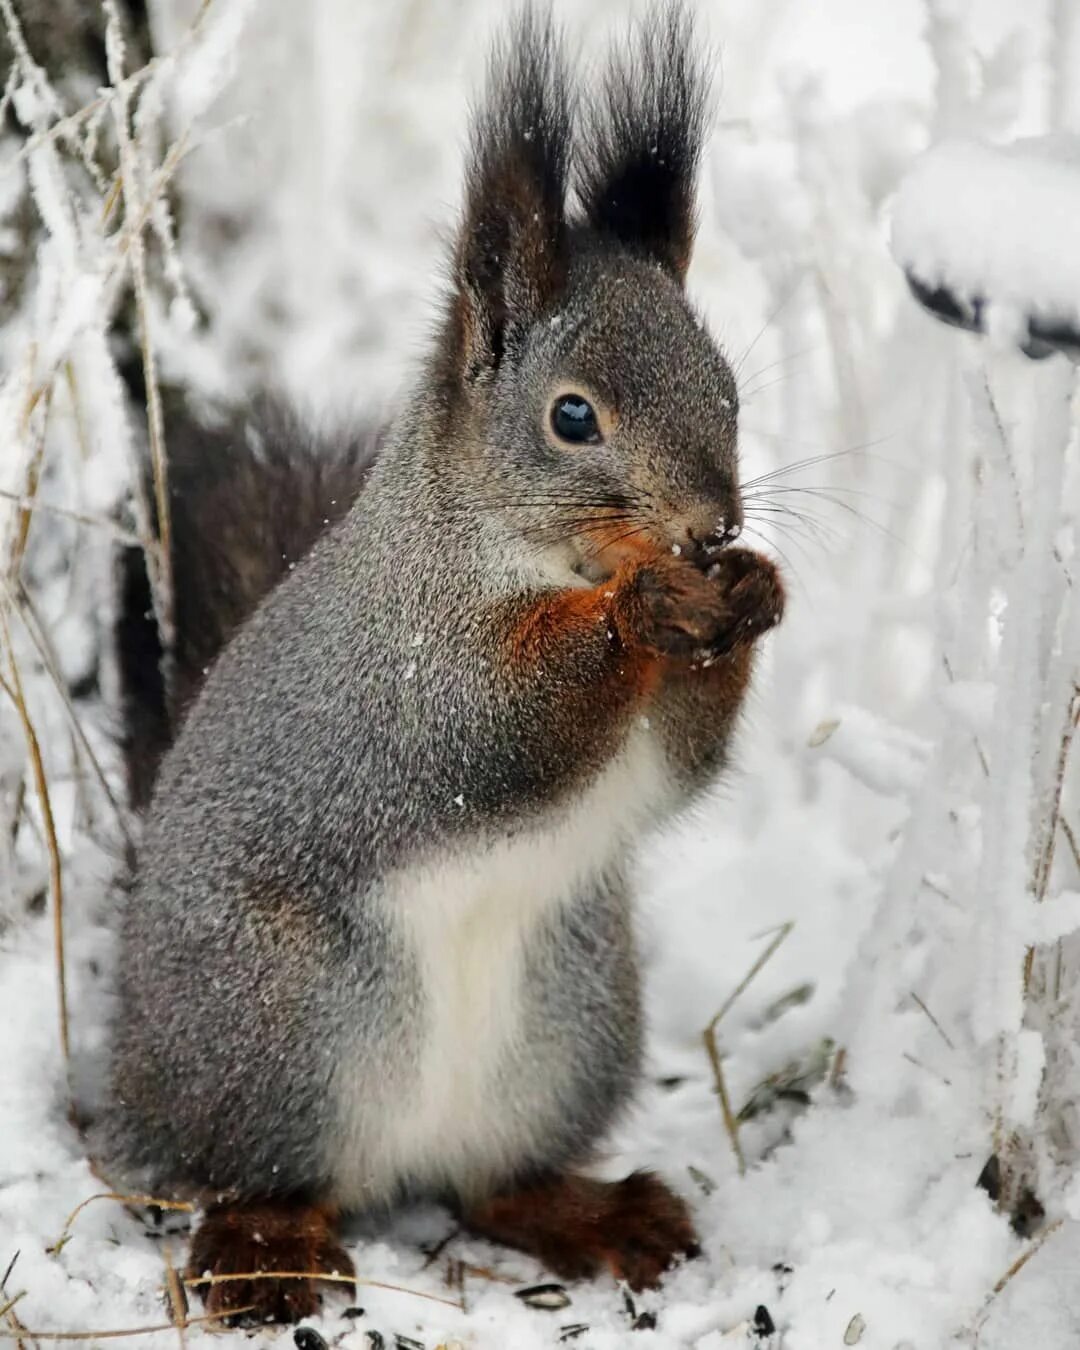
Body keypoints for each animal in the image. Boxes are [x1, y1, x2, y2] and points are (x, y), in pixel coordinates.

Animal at [105, 2, 783, 1328]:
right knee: (260, 1173)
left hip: (568, 1022)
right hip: (282, 1024)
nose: (711, 529)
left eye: (726, 387)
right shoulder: (410, 678)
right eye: (572, 418)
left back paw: (602, 1216)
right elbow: (504, 723)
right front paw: (643, 607)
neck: (519, 559)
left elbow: (679, 760)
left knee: (494, 1188)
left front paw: (755, 595)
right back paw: (266, 1252)